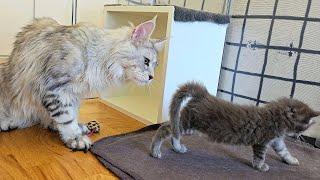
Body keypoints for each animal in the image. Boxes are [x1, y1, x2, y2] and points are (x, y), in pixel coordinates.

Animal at [0, 16, 165, 152]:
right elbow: (66, 117)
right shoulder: (53, 88)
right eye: (146, 61)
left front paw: (75, 129)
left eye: (155, 66)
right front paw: (75, 138)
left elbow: (70, 114)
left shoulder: (73, 95)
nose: (151, 77)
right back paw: (8, 122)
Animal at [151, 82, 320, 172]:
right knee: (165, 128)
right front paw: (260, 166)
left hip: (192, 124)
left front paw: (291, 160)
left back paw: (178, 147)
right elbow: (260, 156)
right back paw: (155, 151)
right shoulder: (263, 140)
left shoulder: (276, 140)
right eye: (303, 126)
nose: (299, 136)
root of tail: (204, 94)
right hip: (190, 122)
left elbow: (284, 151)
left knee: (174, 130)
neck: (276, 117)